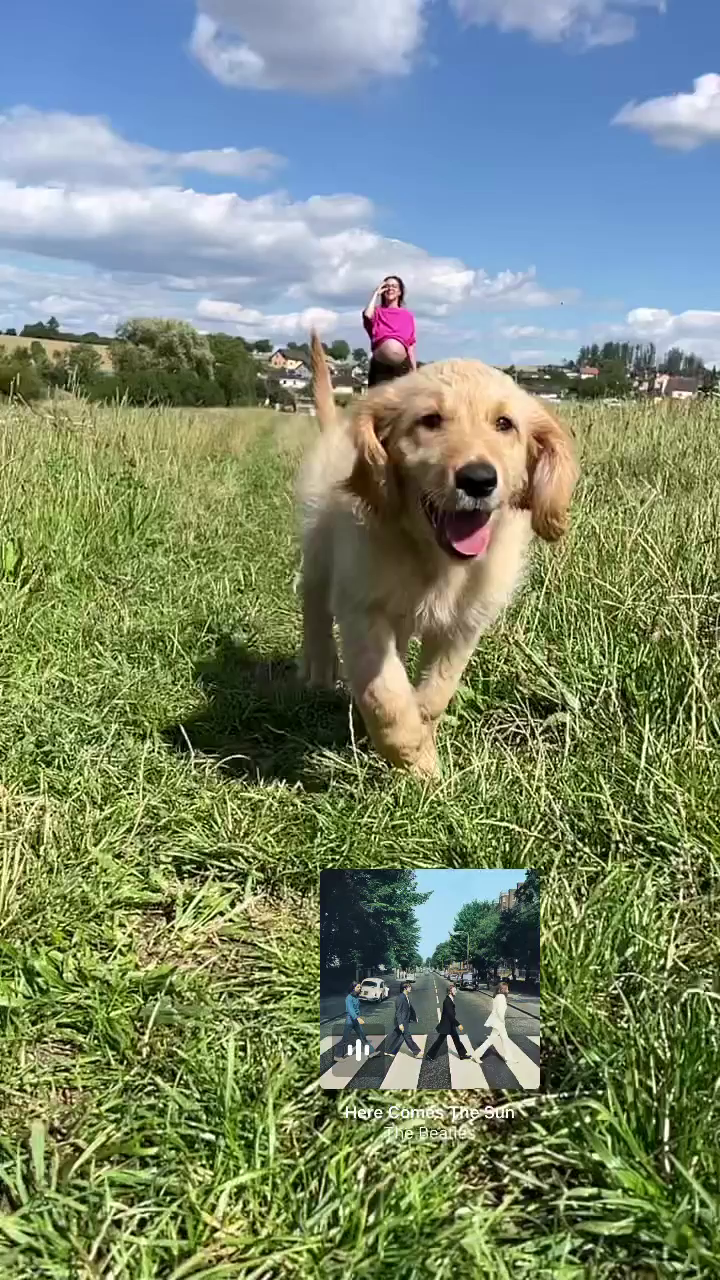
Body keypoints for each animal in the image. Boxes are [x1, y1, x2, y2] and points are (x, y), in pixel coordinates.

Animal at [294, 335, 573, 773]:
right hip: (319, 545)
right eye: (430, 420)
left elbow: (436, 691)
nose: (478, 480)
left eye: (504, 424)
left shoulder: (463, 624)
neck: (436, 561)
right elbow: (385, 696)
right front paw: (418, 764)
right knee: (312, 598)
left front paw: (422, 729)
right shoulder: (362, 607)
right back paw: (319, 664)